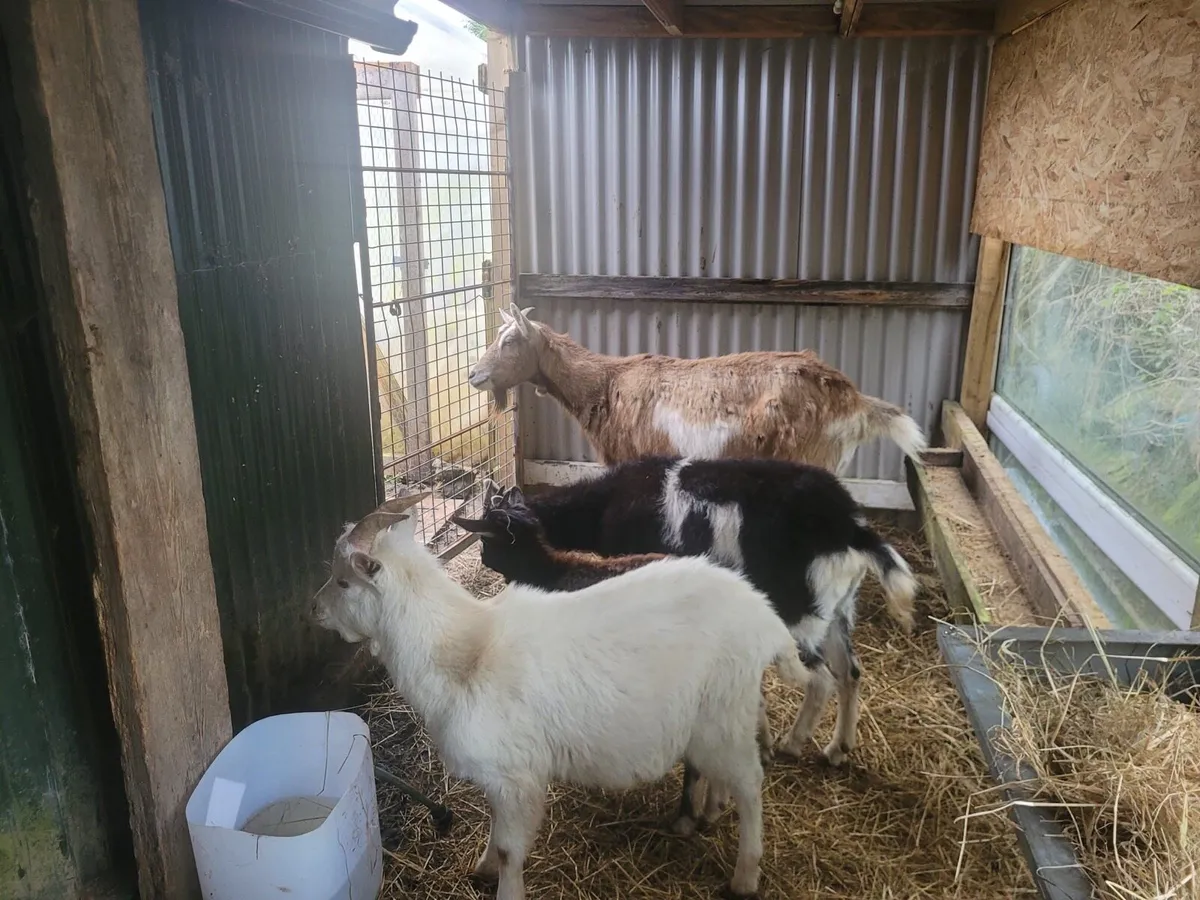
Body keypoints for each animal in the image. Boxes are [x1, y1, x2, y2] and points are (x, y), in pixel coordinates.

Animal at [313, 492, 808, 900]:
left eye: (344, 582)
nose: (313, 611)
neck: (467, 651)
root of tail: (764, 615)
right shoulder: (500, 775)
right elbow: (495, 827)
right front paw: (483, 866)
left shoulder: (518, 776)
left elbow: (511, 850)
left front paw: (504, 886)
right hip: (721, 717)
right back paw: (710, 812)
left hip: (722, 713)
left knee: (751, 782)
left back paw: (745, 875)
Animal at [453, 458, 918, 769]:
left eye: (485, 540)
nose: (486, 564)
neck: (605, 503)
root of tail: (851, 529)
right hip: (837, 607)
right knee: (850, 673)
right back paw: (838, 749)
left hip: (800, 609)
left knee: (820, 677)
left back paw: (791, 743)